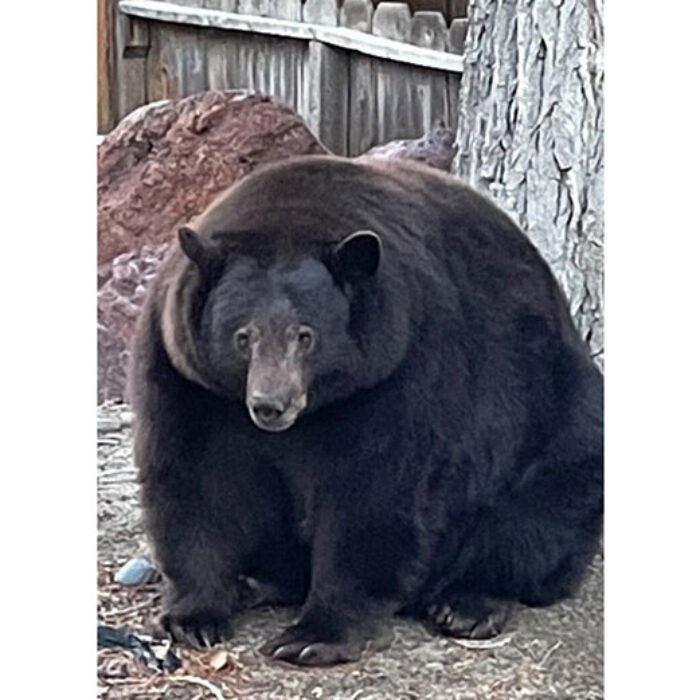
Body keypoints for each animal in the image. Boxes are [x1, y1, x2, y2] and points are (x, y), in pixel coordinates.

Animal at [129, 154, 603, 666]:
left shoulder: (402, 365)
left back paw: (467, 604)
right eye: (243, 336)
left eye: (305, 335)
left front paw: (313, 635)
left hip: (555, 420)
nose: (270, 405)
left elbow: (374, 491)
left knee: (537, 516)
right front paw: (194, 616)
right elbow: (195, 477)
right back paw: (257, 581)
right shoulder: (186, 375)